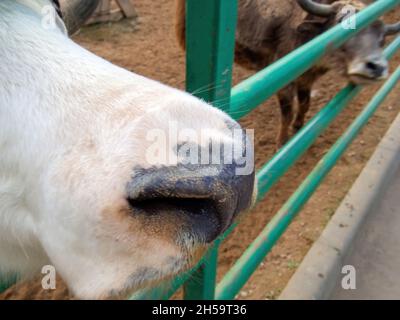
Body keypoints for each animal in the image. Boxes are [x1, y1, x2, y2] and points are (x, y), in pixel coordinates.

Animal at [176, 0, 400, 146]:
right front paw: (282, 141)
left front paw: (299, 126)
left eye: (382, 38)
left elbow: (305, 103)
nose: (376, 67)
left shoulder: (306, 80)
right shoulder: (284, 84)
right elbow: (287, 111)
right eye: (342, 22)